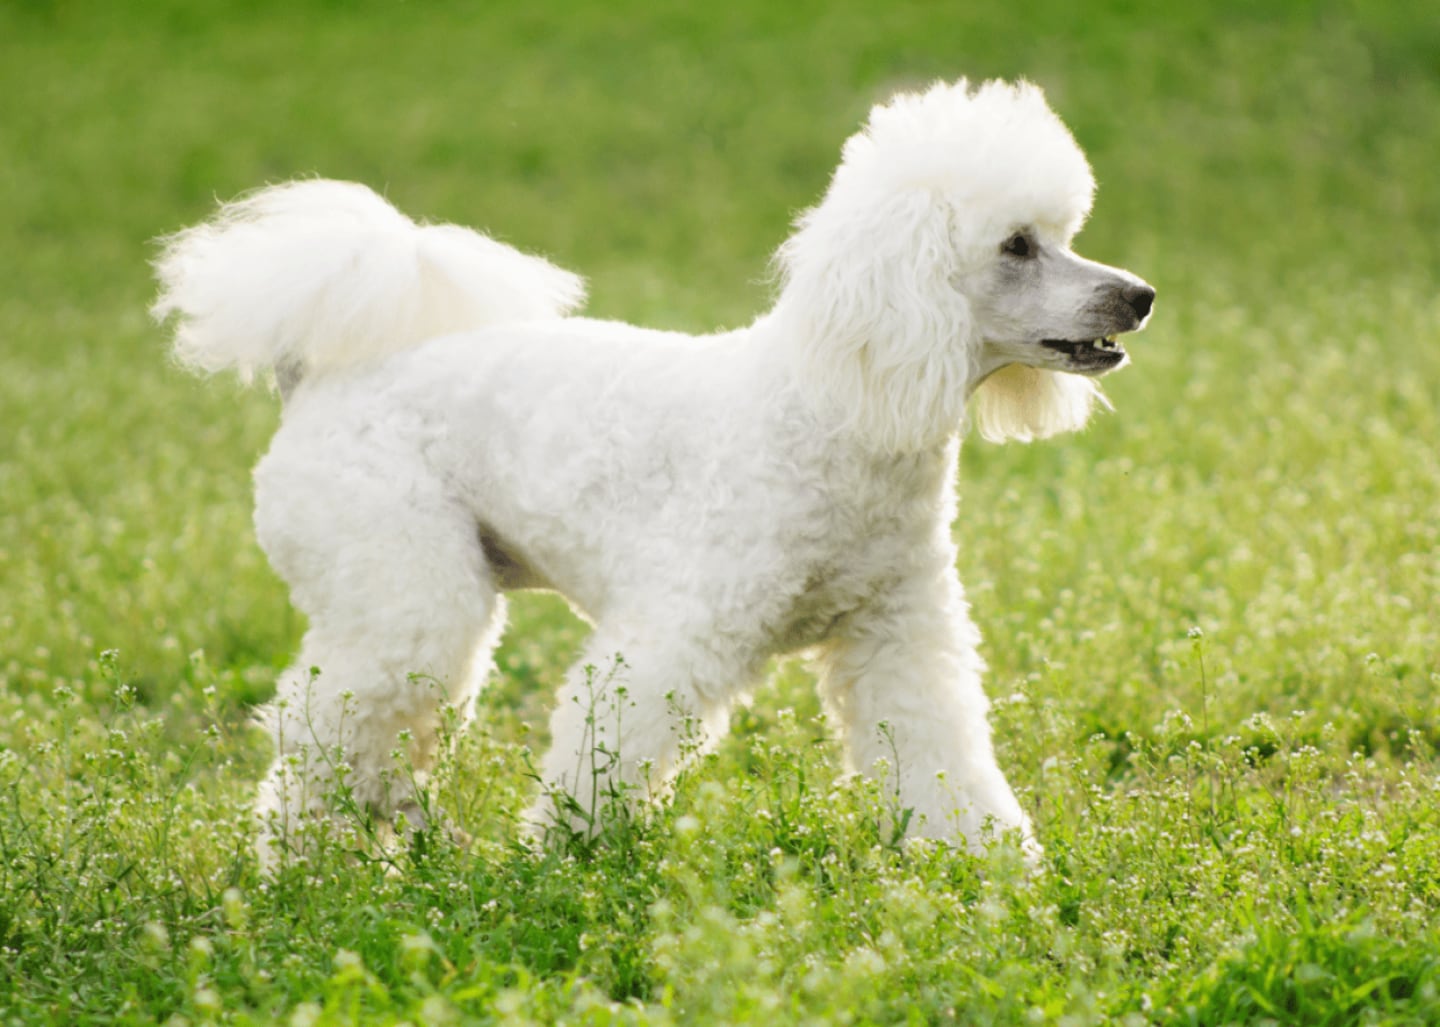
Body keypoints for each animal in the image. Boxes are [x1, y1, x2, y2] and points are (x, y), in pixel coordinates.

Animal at [153, 78, 1153, 865]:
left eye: (1062, 232)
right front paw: (563, 861)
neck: (829, 411)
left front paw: (990, 865)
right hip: (404, 595)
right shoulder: (678, 632)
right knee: (319, 735)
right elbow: (609, 744)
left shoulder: (896, 634)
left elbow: (939, 748)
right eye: (1016, 245)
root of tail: (313, 379)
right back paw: (302, 872)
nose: (1139, 296)